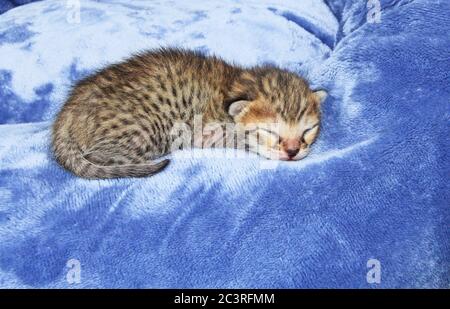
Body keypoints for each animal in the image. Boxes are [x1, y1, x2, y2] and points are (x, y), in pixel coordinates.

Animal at [52, 47, 326, 178]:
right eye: (270, 132)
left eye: (308, 131)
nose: (292, 151)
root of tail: (68, 110)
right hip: (146, 132)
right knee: (99, 156)